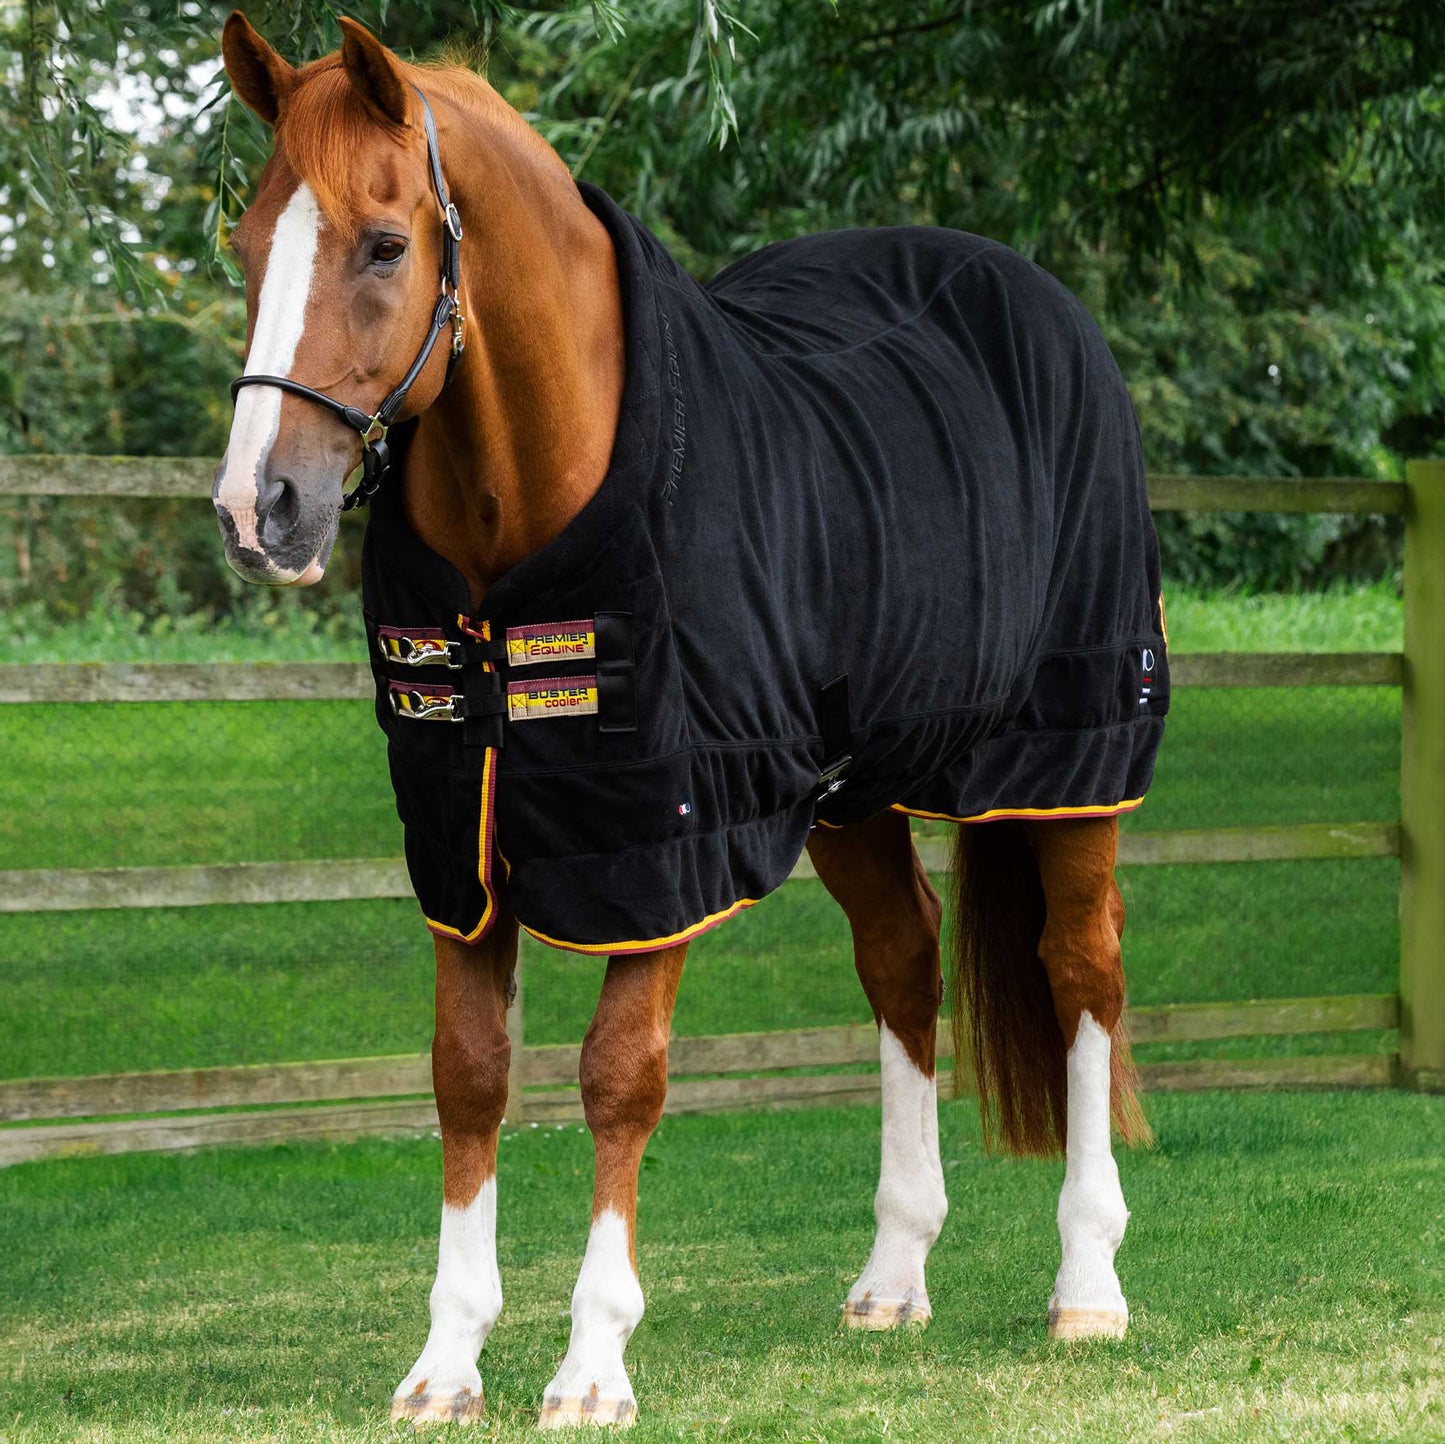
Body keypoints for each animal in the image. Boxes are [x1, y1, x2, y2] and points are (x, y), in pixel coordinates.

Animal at [213, 13, 1163, 1428]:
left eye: (383, 243)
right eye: (243, 241)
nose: (256, 506)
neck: (530, 523)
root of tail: (1036, 301)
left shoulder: (662, 836)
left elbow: (620, 1072)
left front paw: (591, 1365)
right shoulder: (461, 841)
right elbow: (467, 1071)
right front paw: (445, 1363)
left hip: (1069, 755)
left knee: (1080, 969)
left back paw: (1088, 1284)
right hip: (850, 790)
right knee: (903, 959)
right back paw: (894, 1274)